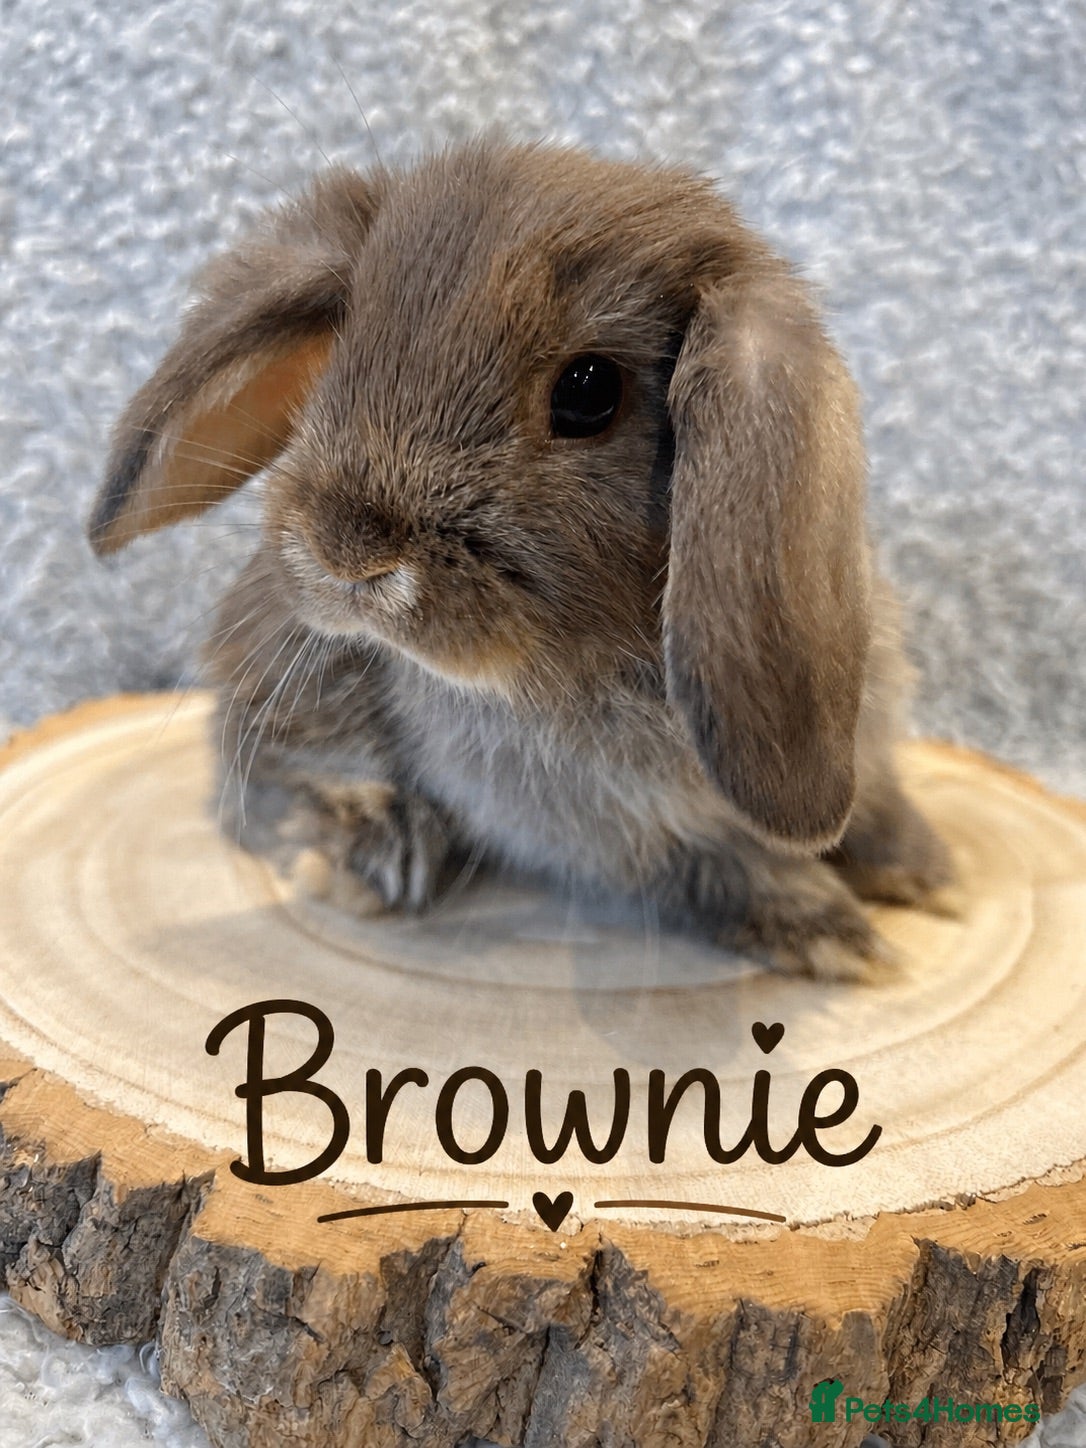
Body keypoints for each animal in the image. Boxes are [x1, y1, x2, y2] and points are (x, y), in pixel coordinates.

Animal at [88, 138, 952, 981]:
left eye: (589, 390)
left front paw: (924, 870)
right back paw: (368, 851)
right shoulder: (602, 828)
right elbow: (713, 864)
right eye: (340, 357)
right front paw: (829, 931)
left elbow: (874, 808)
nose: (347, 555)